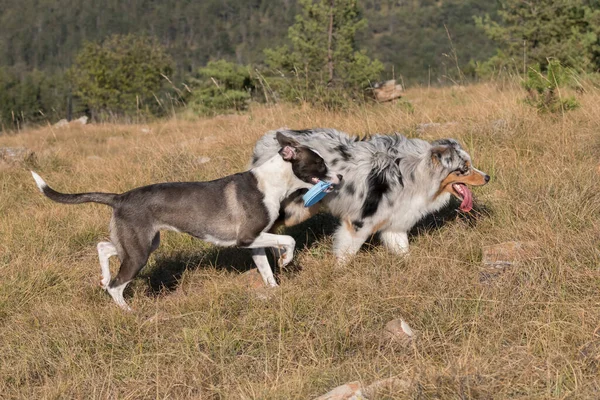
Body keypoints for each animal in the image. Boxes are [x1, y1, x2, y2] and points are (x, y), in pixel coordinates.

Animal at [34, 133, 342, 310]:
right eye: (320, 163)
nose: (340, 177)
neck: (272, 181)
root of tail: (120, 197)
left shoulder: (254, 243)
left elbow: (267, 272)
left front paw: (276, 292)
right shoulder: (246, 238)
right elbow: (288, 240)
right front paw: (287, 260)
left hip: (141, 243)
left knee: (103, 247)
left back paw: (103, 276)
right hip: (139, 253)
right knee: (116, 287)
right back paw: (129, 312)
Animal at [251, 128, 490, 262]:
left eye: (469, 165)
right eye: (464, 169)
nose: (487, 177)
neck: (414, 173)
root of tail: (265, 141)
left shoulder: (395, 223)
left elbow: (403, 251)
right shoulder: (359, 223)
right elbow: (346, 255)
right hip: (295, 209)